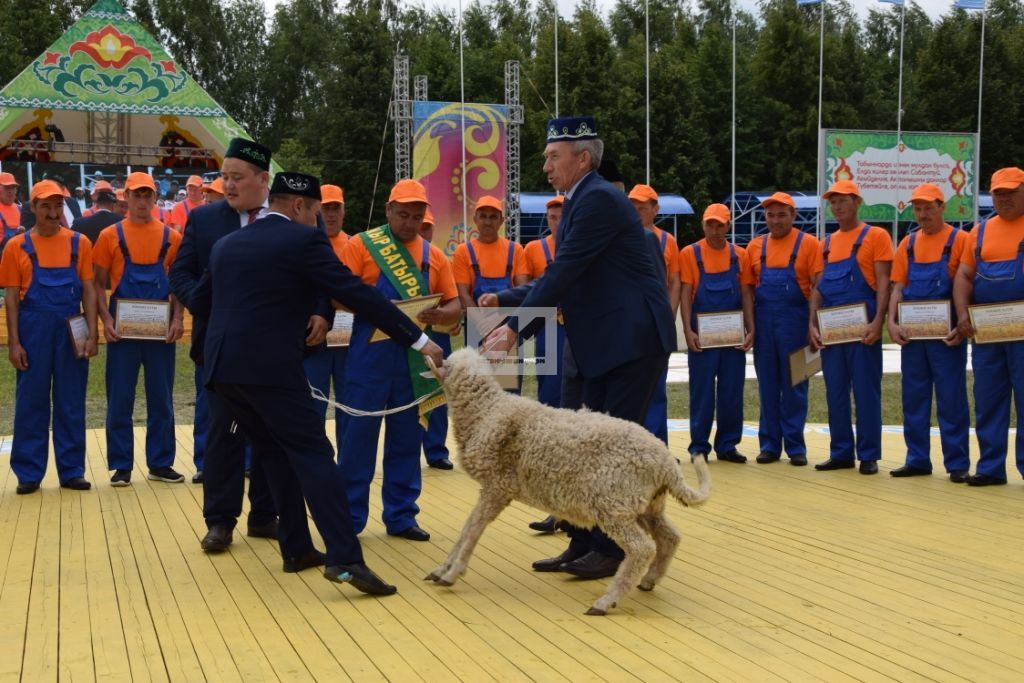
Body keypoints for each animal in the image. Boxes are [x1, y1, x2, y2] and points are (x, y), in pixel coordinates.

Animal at [423, 350, 712, 618]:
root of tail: (666, 463)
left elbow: (473, 530)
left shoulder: (497, 486)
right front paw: (442, 569)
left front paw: (452, 573)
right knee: (669, 538)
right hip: (644, 505)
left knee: (642, 549)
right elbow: (468, 527)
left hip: (614, 503)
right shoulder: (493, 489)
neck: (484, 411)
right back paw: (649, 580)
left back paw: (605, 602)